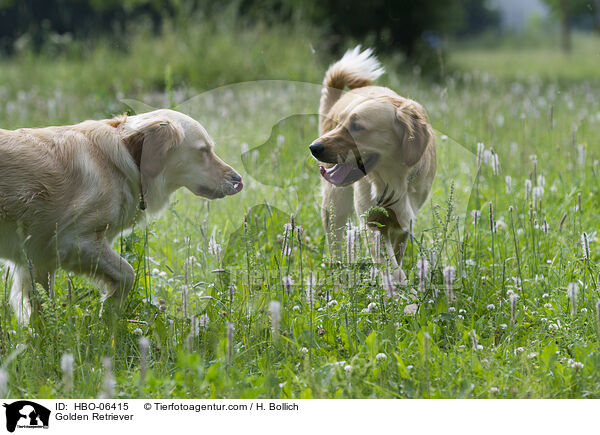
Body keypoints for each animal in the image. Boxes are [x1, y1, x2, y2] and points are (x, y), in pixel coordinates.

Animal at [1, 109, 244, 322]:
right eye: (204, 150)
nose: (238, 179)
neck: (128, 160)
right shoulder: (71, 241)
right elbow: (128, 273)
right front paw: (108, 312)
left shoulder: (36, 258)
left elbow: (40, 308)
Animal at [310, 46, 436, 286]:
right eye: (340, 123)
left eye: (357, 126)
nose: (313, 147)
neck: (393, 178)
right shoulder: (372, 222)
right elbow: (390, 265)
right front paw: (400, 289)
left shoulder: (403, 223)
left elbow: (396, 256)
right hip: (335, 204)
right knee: (336, 245)